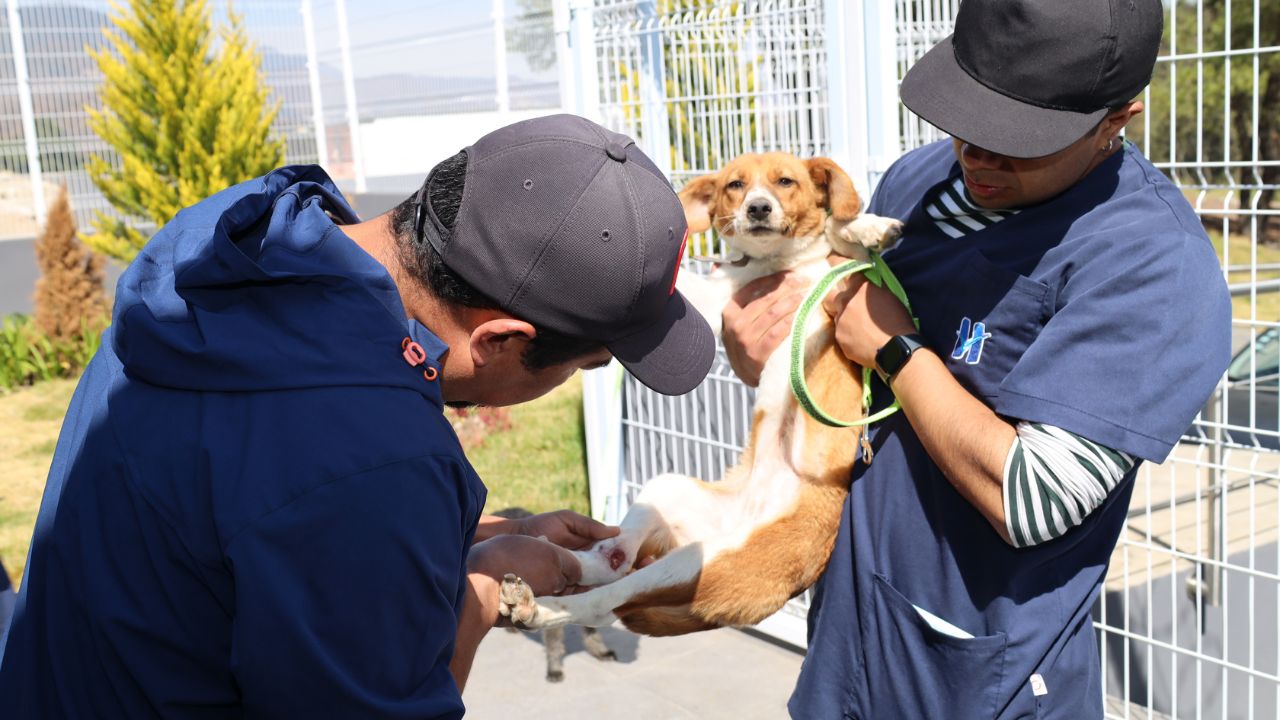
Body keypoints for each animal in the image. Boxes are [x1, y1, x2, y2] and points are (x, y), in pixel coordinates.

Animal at [496, 152, 901, 632]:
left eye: (785, 181)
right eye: (735, 185)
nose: (758, 208)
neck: (775, 262)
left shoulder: (843, 280)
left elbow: (842, 237)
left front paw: (868, 227)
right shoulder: (713, 305)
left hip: (694, 561)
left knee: (604, 600)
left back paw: (537, 605)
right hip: (666, 492)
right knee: (613, 564)